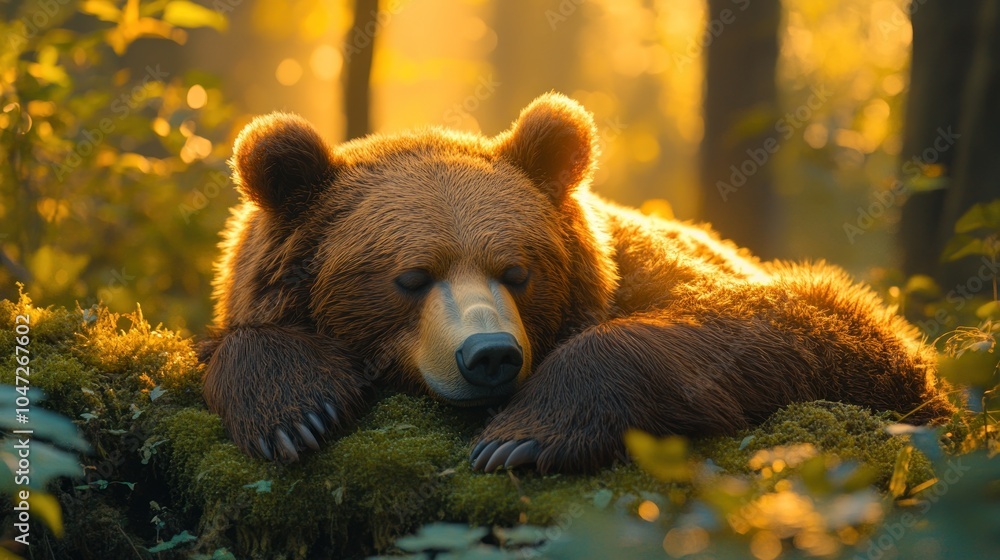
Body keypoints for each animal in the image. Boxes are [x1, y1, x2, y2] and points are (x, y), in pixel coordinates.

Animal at [201, 92, 956, 474]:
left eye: (517, 270)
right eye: (411, 277)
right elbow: (248, 342)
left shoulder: (654, 273)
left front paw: (522, 437)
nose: (489, 356)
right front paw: (297, 413)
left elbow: (811, 319)